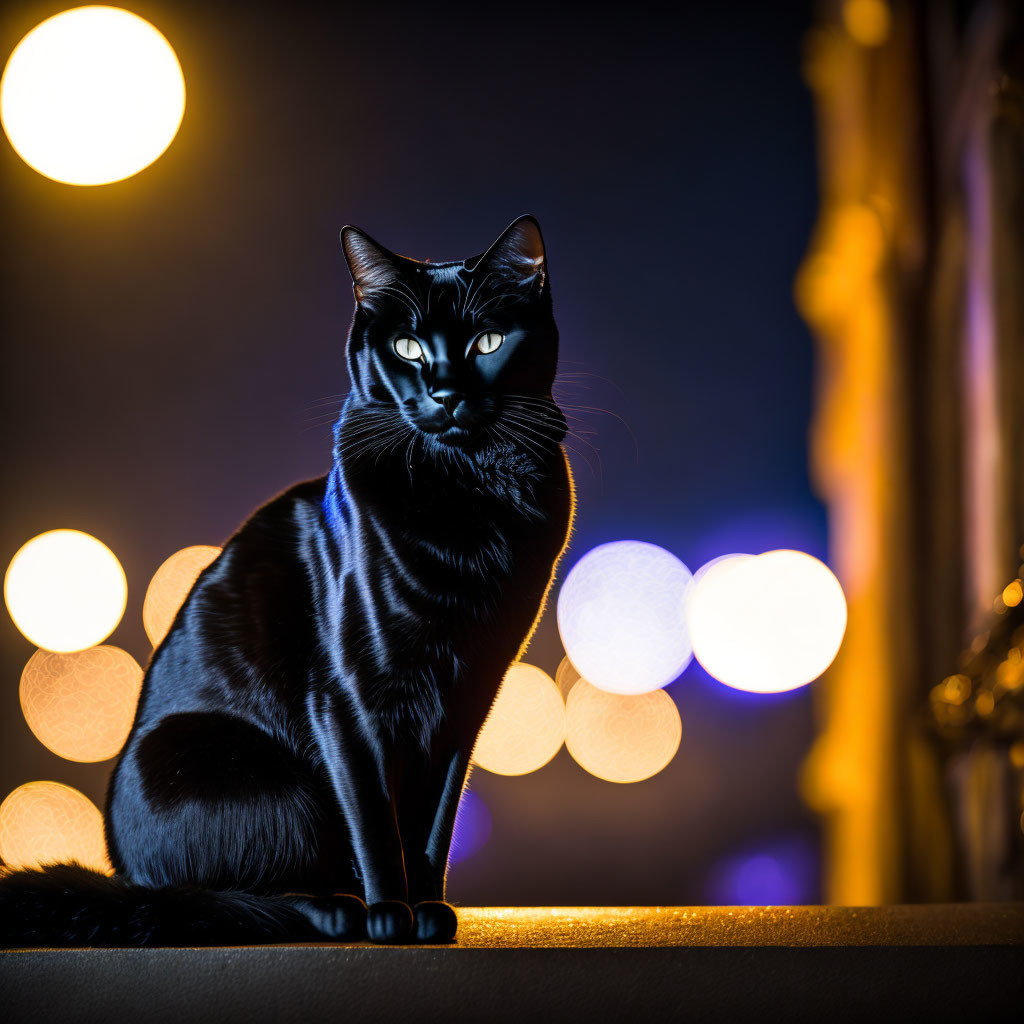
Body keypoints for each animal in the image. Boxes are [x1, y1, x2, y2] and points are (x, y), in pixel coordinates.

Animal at [0, 220, 577, 946]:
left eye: (488, 342)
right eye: (408, 347)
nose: (444, 393)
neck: (467, 494)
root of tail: (124, 879)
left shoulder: (471, 693)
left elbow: (434, 822)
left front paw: (428, 911)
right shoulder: (346, 697)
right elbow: (375, 822)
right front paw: (391, 915)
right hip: (255, 785)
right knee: (225, 896)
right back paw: (340, 910)